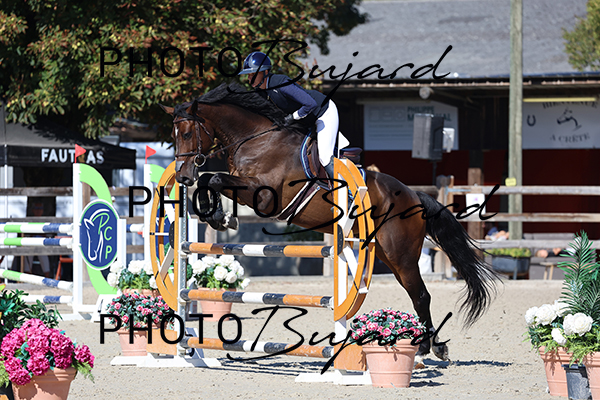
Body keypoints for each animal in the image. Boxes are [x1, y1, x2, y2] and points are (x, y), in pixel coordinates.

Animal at [160, 82, 498, 361]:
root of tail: (413, 195)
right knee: (416, 295)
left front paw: (220, 216)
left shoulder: (264, 197)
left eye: (187, 133)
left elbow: (214, 178)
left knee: (421, 295)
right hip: (387, 255)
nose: (183, 177)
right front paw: (220, 216)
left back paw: (430, 347)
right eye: (173, 135)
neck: (255, 140)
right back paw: (431, 346)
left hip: (401, 255)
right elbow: (211, 180)